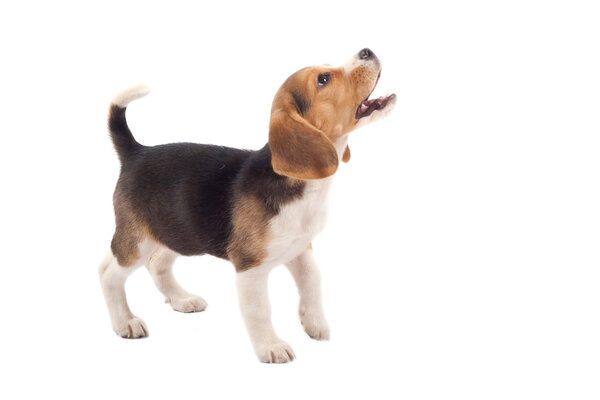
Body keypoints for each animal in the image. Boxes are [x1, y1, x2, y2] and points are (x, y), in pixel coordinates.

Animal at [98, 47, 396, 362]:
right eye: (323, 79)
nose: (367, 51)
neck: (303, 186)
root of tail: (135, 152)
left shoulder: (301, 249)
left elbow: (313, 282)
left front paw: (315, 323)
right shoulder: (250, 267)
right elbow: (259, 309)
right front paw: (270, 346)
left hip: (176, 233)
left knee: (152, 264)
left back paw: (181, 298)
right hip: (139, 241)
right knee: (109, 274)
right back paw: (125, 321)